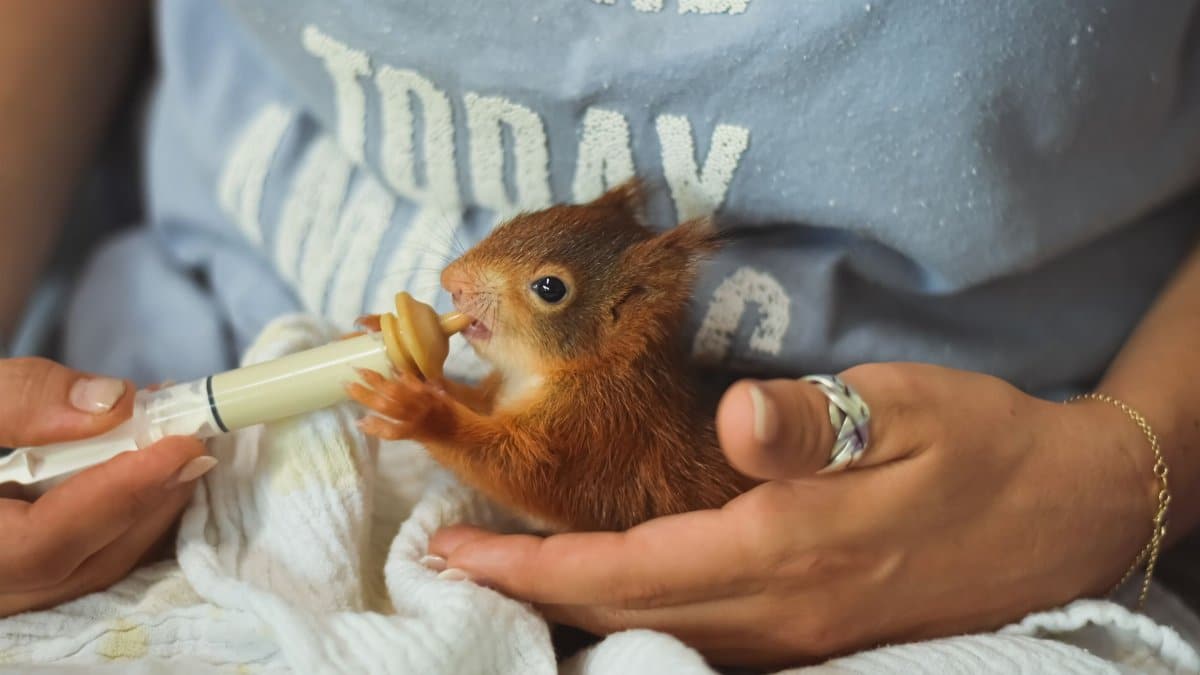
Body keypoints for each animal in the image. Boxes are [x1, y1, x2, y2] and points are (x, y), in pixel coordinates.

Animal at [347, 179, 758, 532]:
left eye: (551, 288)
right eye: (525, 218)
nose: (452, 281)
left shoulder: (596, 431)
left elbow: (520, 474)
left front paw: (419, 413)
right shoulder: (501, 395)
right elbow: (473, 402)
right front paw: (383, 337)